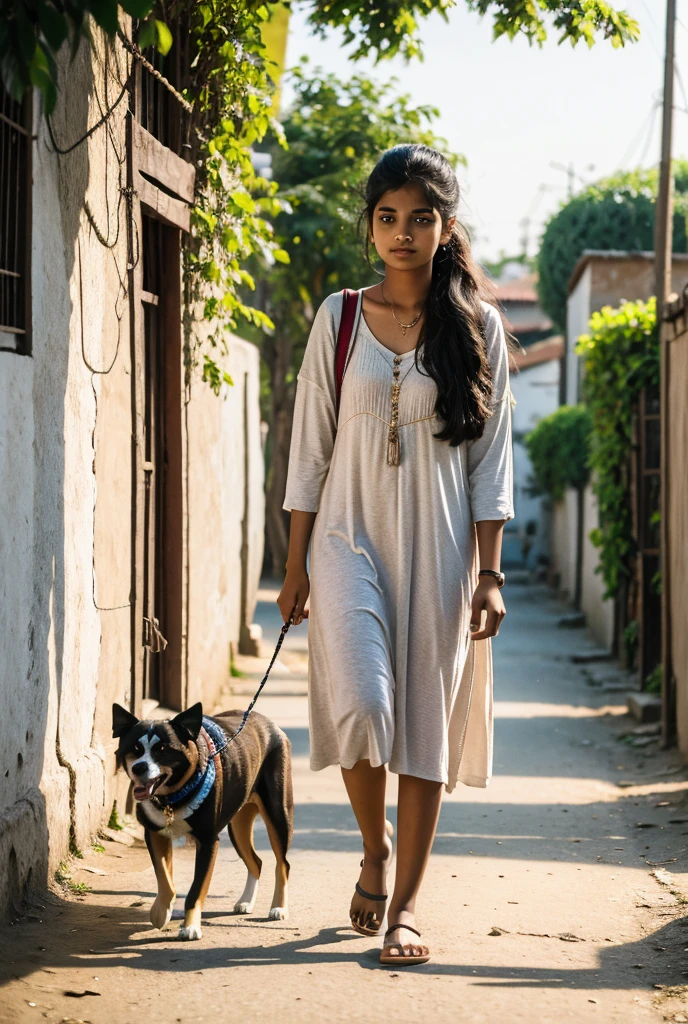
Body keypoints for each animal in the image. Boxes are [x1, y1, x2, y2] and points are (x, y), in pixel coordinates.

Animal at [112, 700, 292, 937]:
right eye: (135, 748)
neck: (173, 797)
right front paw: (161, 912)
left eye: (162, 749)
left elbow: (196, 889)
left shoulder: (207, 841)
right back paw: (246, 901)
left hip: (278, 814)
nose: (139, 767)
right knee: (256, 861)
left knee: (283, 864)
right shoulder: (156, 834)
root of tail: (267, 722)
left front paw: (190, 927)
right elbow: (164, 879)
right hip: (238, 826)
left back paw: (279, 907)